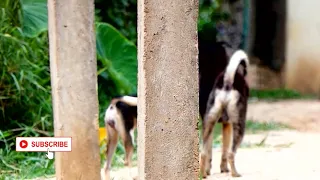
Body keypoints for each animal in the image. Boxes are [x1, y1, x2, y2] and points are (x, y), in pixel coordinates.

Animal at [200, 49, 250, 179]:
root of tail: (227, 84)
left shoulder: (223, 124)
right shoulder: (228, 125)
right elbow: (225, 151)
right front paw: (224, 169)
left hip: (208, 123)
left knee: (203, 153)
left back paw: (202, 175)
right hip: (239, 126)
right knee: (231, 153)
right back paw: (235, 173)